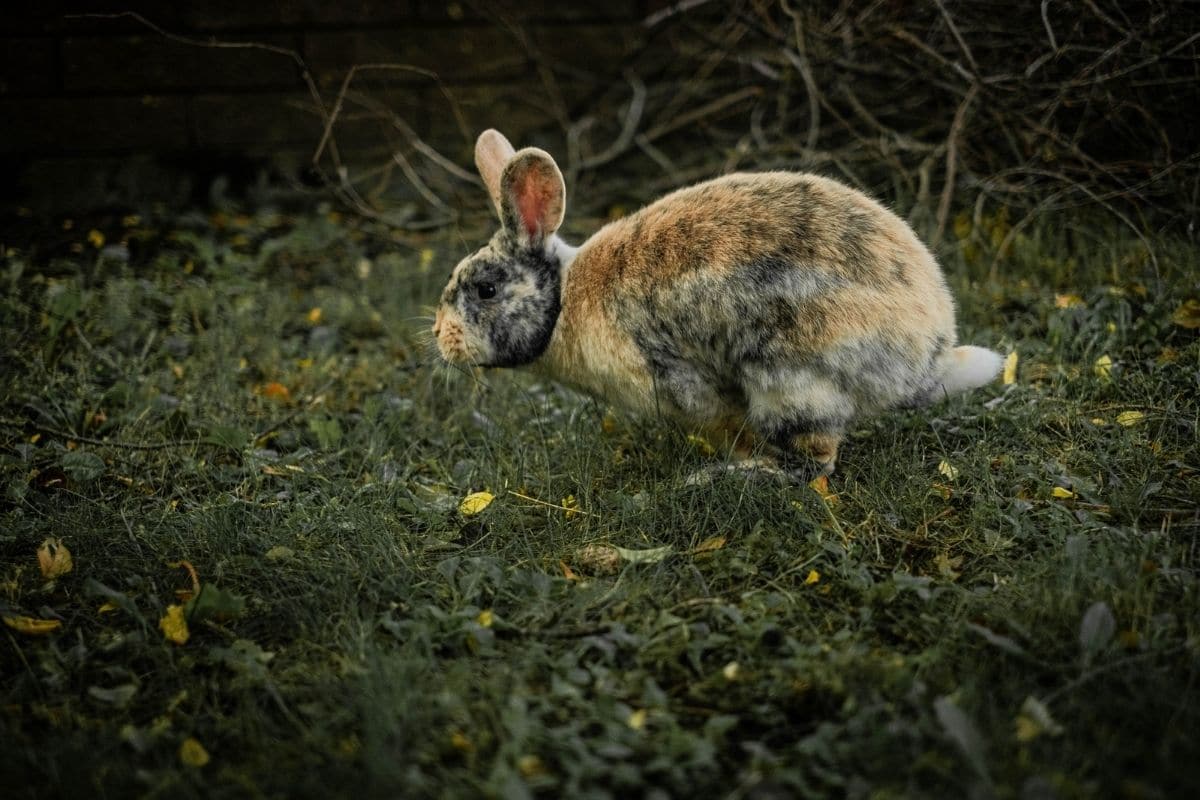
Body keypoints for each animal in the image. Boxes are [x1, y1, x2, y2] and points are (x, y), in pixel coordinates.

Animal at [432, 129, 1003, 476]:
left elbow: (732, 428)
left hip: (789, 378)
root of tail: (929, 358)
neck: (563, 299)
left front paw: (738, 461)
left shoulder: (686, 386)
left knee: (816, 461)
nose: (440, 337)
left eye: (485, 290)